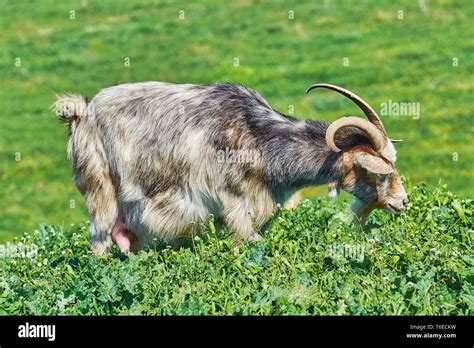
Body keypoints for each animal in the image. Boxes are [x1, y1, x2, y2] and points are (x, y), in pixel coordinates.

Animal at [51, 82, 408, 254]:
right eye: (381, 170)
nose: (402, 201)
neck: (258, 139)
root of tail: (81, 112)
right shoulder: (237, 208)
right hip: (99, 186)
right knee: (99, 242)